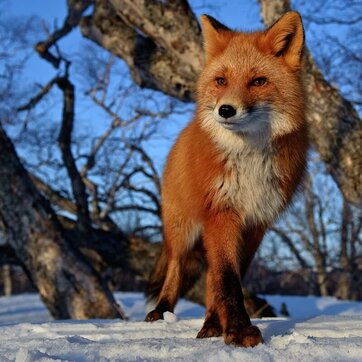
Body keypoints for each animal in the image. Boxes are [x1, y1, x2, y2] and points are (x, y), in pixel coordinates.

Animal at [145, 12, 308, 348]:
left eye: (258, 81)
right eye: (221, 81)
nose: (226, 110)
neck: (249, 158)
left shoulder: (256, 223)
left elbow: (227, 279)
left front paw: (224, 326)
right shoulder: (221, 212)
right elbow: (228, 279)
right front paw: (239, 330)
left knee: (209, 278)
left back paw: (209, 324)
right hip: (182, 229)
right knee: (175, 266)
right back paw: (162, 310)